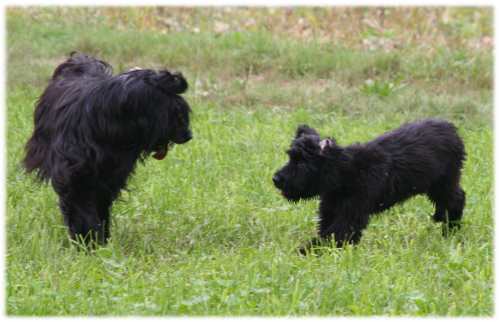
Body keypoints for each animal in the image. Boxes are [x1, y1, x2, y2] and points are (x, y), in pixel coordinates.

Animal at [23, 52, 193, 244]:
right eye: (175, 113)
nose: (189, 135)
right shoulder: (76, 178)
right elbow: (80, 206)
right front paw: (87, 239)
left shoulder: (109, 179)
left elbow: (100, 204)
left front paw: (100, 238)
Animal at [272, 119, 466, 253]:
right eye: (290, 157)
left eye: (301, 164)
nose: (276, 179)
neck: (344, 171)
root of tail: (452, 129)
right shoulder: (330, 210)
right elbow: (327, 232)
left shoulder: (351, 215)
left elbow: (334, 235)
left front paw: (307, 251)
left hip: (444, 182)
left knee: (457, 199)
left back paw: (450, 228)